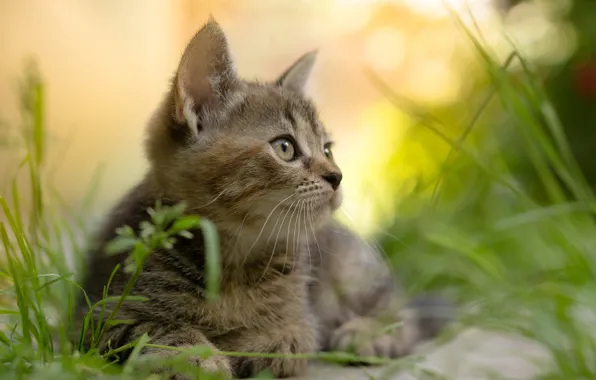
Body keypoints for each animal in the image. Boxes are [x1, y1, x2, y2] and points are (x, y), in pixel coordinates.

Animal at [77, 18, 452, 380]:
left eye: (327, 150)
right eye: (285, 147)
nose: (337, 176)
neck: (232, 260)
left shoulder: (302, 318)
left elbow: (285, 338)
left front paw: (246, 343)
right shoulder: (98, 313)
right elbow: (150, 328)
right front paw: (196, 355)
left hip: (355, 273)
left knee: (407, 315)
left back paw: (368, 333)